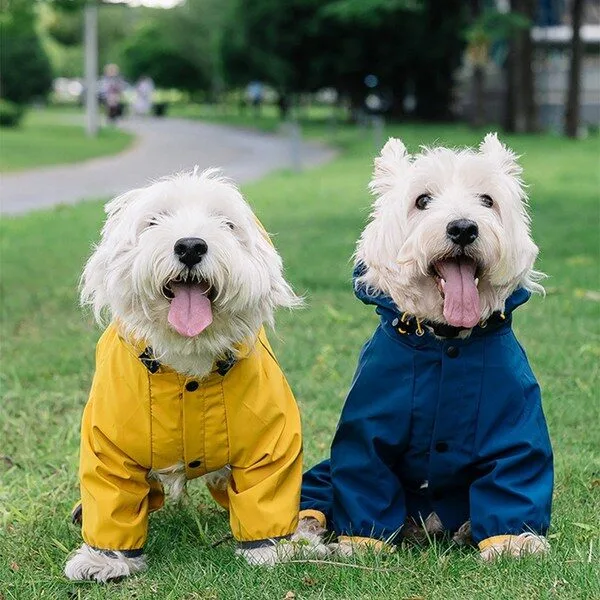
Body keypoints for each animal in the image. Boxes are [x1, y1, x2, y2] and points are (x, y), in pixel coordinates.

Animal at [64, 168, 310, 580]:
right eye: (154, 220)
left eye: (226, 223)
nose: (191, 246)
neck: (188, 366)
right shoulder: (107, 444)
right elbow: (112, 495)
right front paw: (105, 559)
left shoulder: (271, 441)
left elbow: (266, 488)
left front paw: (269, 550)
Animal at [298, 134, 556, 560]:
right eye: (422, 200)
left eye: (487, 200)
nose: (463, 228)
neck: (446, 341)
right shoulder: (366, 432)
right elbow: (365, 477)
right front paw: (362, 546)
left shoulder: (515, 424)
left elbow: (514, 472)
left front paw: (513, 543)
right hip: (322, 474)